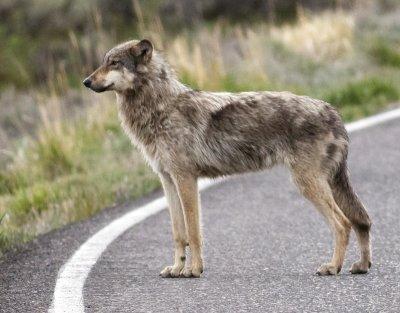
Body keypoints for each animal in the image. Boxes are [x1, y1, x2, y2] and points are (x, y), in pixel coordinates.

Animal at [82, 40, 372, 276]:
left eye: (114, 63)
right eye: (103, 61)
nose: (86, 81)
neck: (160, 108)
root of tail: (332, 111)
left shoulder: (186, 179)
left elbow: (193, 232)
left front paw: (193, 270)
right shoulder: (168, 181)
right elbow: (178, 233)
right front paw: (176, 269)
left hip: (307, 185)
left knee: (343, 224)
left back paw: (332, 267)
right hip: (326, 184)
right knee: (363, 221)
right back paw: (361, 266)